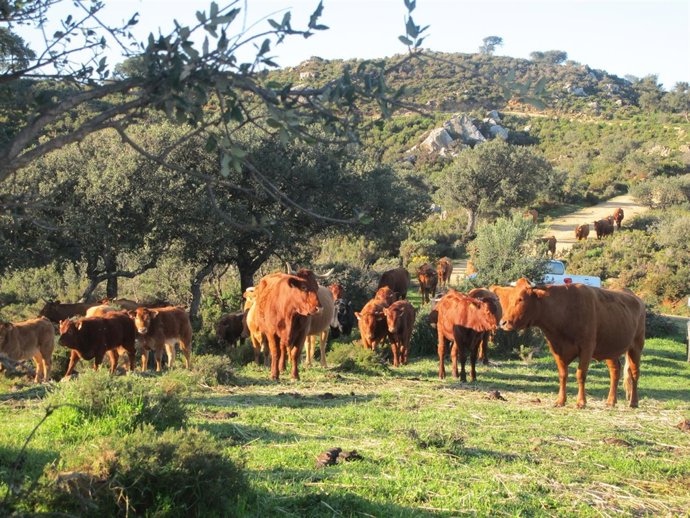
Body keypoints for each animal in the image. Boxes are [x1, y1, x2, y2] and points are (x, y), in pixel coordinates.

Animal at [491, 279, 645, 408]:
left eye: (520, 299)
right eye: (509, 298)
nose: (503, 322)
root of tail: (636, 298)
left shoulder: (587, 347)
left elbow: (580, 375)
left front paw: (581, 402)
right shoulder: (556, 348)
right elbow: (563, 374)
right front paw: (560, 400)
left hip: (636, 346)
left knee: (634, 373)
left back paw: (633, 402)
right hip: (610, 348)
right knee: (615, 371)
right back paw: (610, 401)